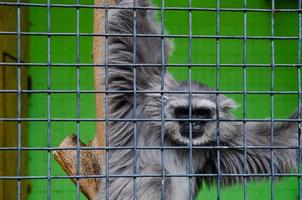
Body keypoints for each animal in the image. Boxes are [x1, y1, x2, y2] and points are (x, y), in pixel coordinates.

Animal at [95, 0, 300, 199]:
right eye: (183, 112)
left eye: (201, 113)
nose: (193, 123)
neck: (176, 142)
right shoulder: (141, 100)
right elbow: (140, 40)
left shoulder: (219, 142)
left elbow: (281, 141)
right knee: (155, 174)